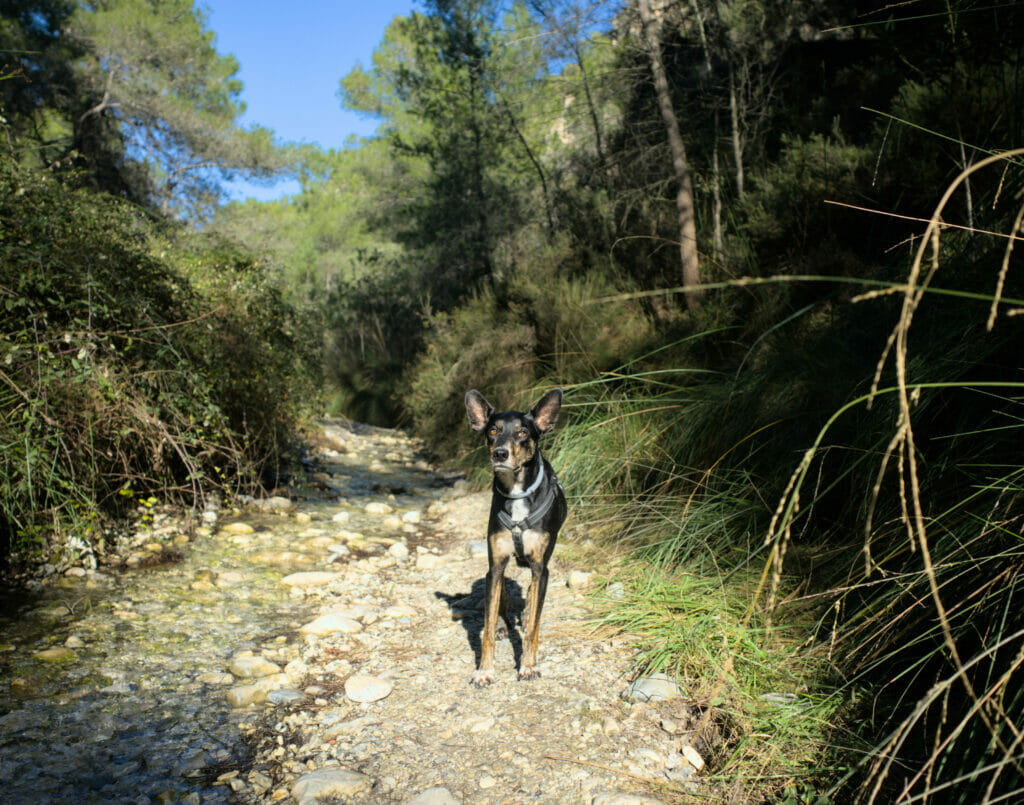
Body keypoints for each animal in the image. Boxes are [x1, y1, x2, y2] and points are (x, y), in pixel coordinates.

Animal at [464, 385, 569, 680]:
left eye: (523, 433)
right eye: (492, 431)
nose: (500, 454)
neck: (517, 492)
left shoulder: (541, 567)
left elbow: (534, 625)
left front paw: (529, 665)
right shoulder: (496, 564)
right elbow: (487, 626)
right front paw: (485, 670)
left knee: (532, 596)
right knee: (501, 597)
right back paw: (503, 623)